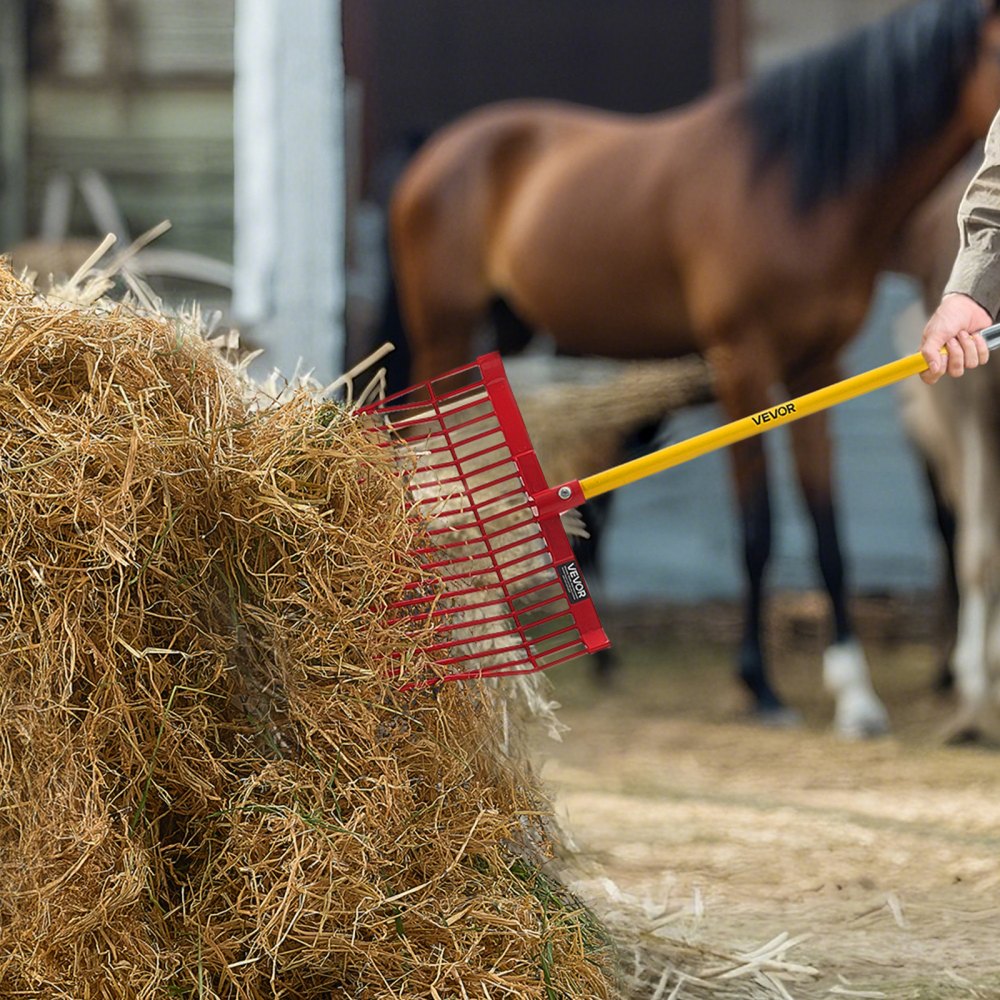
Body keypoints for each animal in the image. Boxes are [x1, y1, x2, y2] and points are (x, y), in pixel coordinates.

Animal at [388, 0, 1000, 737]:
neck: (794, 185)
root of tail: (437, 150)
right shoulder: (743, 363)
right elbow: (758, 528)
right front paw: (760, 686)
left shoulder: (817, 366)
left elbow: (828, 531)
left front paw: (856, 695)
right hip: (445, 334)